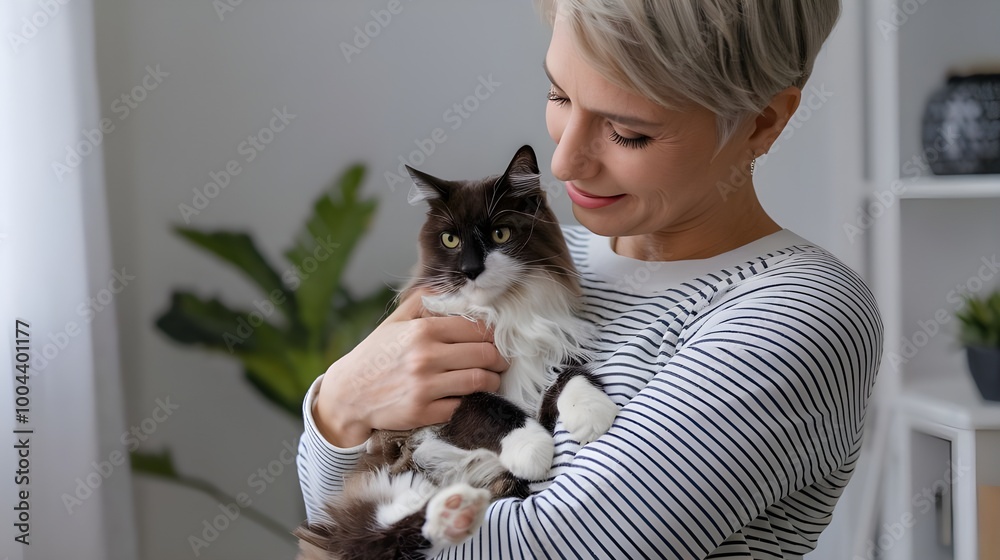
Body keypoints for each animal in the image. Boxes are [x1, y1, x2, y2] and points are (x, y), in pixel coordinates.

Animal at [292, 145, 616, 560]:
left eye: (499, 233)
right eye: (450, 240)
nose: (471, 269)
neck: (502, 313)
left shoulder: (553, 352)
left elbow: (572, 376)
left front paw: (593, 414)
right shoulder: (443, 396)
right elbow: (488, 406)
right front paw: (532, 448)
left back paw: (459, 510)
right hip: (386, 477)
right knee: (380, 532)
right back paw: (454, 511)